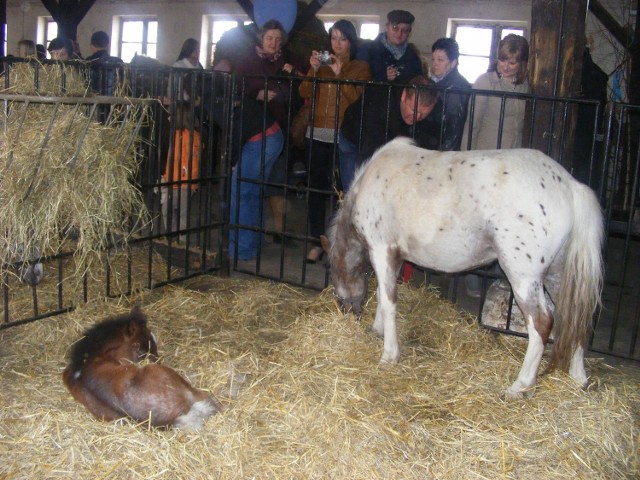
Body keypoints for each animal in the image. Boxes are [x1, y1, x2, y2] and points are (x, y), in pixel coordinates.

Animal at [324, 136, 604, 398]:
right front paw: (378, 330)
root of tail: (571, 186)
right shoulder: (395, 257)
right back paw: (578, 379)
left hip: (523, 277)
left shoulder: (381, 250)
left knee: (542, 323)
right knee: (577, 316)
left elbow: (389, 300)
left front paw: (388, 355)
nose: (348, 312)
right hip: (558, 275)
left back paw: (520, 387)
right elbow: (384, 295)